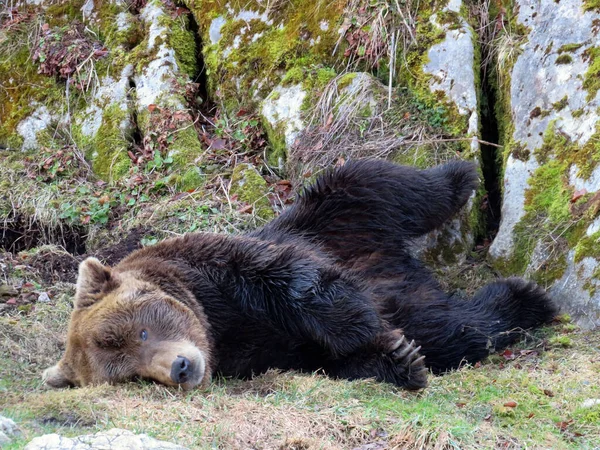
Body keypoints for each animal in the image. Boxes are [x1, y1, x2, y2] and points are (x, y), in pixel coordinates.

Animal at [42, 159, 556, 390]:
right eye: (132, 377)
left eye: (144, 330)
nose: (181, 368)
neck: (214, 325)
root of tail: (401, 265)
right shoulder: (265, 351)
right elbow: (334, 359)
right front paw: (400, 356)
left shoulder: (213, 266)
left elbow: (291, 280)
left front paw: (364, 326)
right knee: (456, 329)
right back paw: (519, 298)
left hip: (335, 216)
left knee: (384, 183)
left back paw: (462, 177)